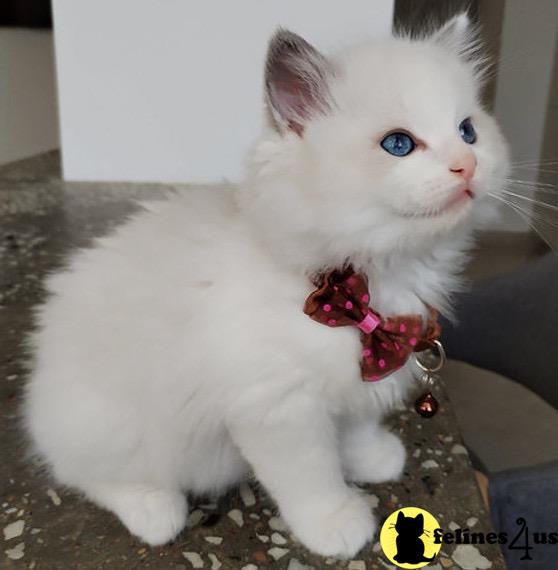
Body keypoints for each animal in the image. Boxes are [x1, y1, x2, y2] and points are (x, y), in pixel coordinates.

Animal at [24, 13, 510, 556]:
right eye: (399, 144)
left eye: (468, 131)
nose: (468, 165)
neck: (353, 284)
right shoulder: (279, 410)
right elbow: (312, 476)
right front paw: (337, 524)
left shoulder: (361, 377)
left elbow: (356, 428)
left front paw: (374, 459)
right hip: (118, 428)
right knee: (89, 475)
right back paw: (155, 512)